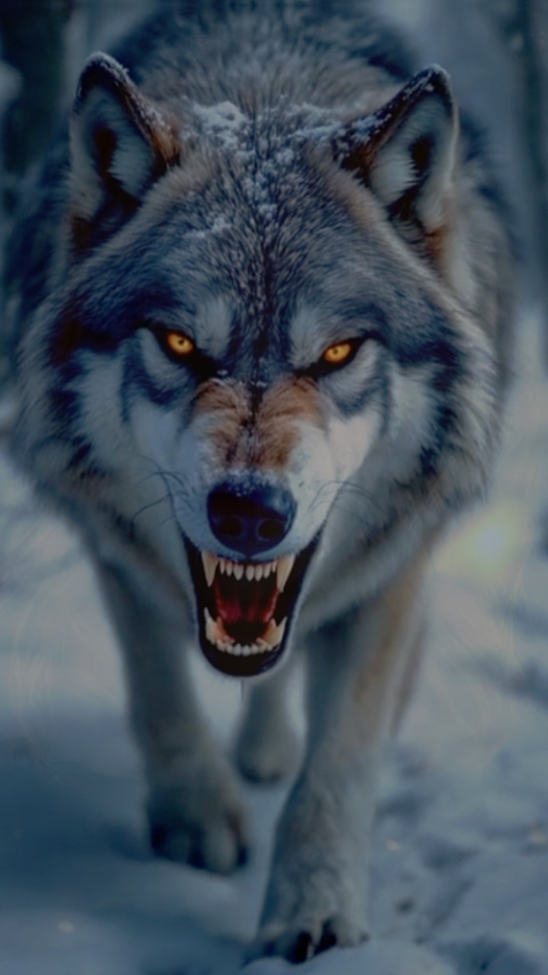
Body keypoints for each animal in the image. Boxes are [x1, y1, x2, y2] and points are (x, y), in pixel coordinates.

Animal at [5, 0, 514, 963]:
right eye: (178, 343)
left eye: (338, 353)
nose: (247, 511)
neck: (266, 90)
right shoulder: (112, 551)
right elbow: (159, 693)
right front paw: (195, 818)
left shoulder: (395, 575)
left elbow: (341, 762)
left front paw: (310, 916)